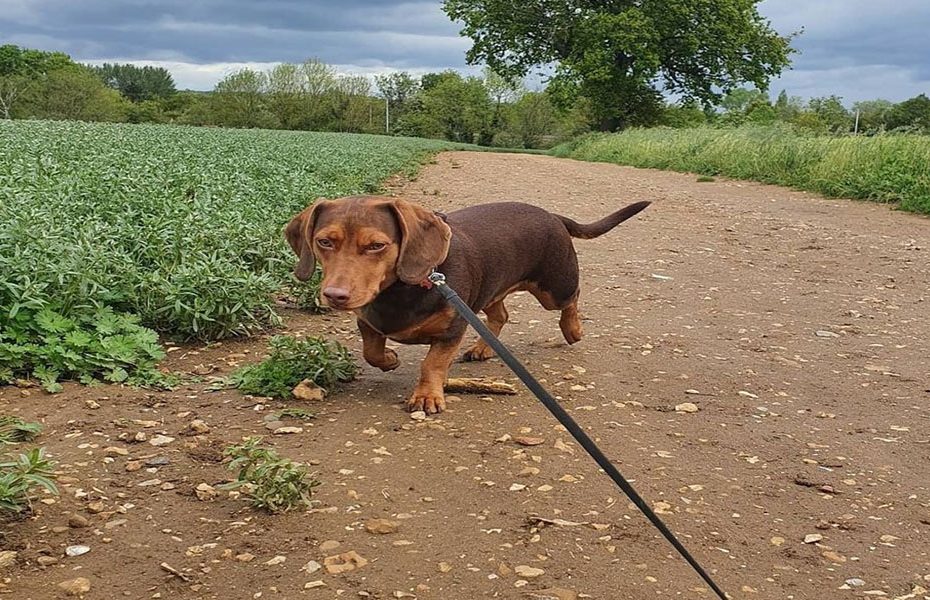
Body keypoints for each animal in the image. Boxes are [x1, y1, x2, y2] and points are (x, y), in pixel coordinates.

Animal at [286, 196, 648, 412]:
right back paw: (483, 348)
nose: (335, 295)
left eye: (376, 245)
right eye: (324, 241)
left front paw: (427, 395)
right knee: (501, 314)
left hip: (553, 289)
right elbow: (371, 350)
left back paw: (572, 329)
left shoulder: (452, 327)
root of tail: (551, 214)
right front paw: (389, 359)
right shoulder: (368, 320)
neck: (404, 288)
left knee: (571, 299)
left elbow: (432, 364)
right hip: (489, 292)